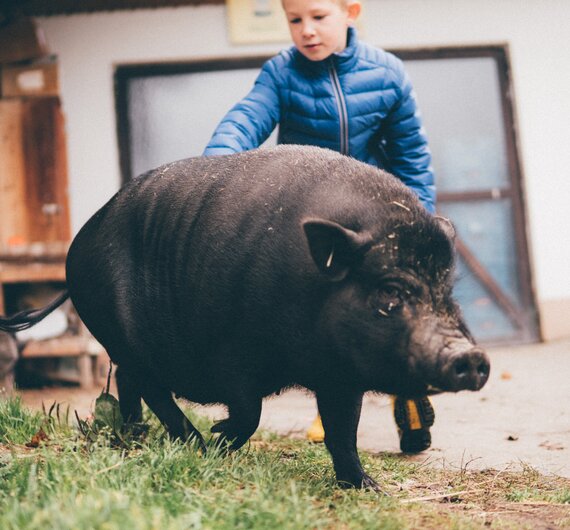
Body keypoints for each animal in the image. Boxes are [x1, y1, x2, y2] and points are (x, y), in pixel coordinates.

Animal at [0, 144, 488, 486]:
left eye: (446, 290)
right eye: (390, 290)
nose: (471, 357)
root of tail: (77, 247)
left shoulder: (339, 373)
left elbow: (342, 430)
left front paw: (368, 487)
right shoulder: (232, 350)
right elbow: (250, 410)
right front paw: (220, 438)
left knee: (129, 382)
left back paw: (142, 434)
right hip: (117, 332)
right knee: (146, 383)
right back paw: (193, 443)